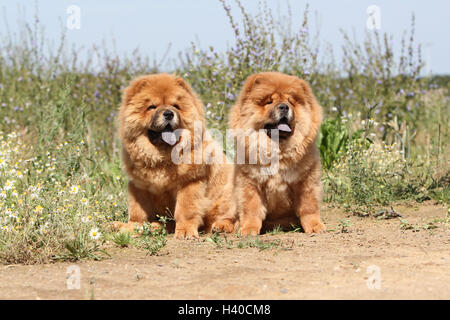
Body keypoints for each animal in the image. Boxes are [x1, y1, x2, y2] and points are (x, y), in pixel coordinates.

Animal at [113, 74, 236, 239]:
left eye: (176, 106)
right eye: (152, 107)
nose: (168, 114)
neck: (163, 156)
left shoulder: (190, 182)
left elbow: (185, 209)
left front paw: (185, 231)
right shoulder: (139, 186)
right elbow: (138, 212)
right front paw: (133, 227)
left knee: (232, 218)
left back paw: (221, 227)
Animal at [230, 72, 326, 235]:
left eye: (290, 102)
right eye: (269, 101)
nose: (284, 107)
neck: (278, 150)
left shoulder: (306, 181)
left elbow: (309, 207)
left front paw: (315, 226)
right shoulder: (250, 182)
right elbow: (251, 208)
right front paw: (249, 229)